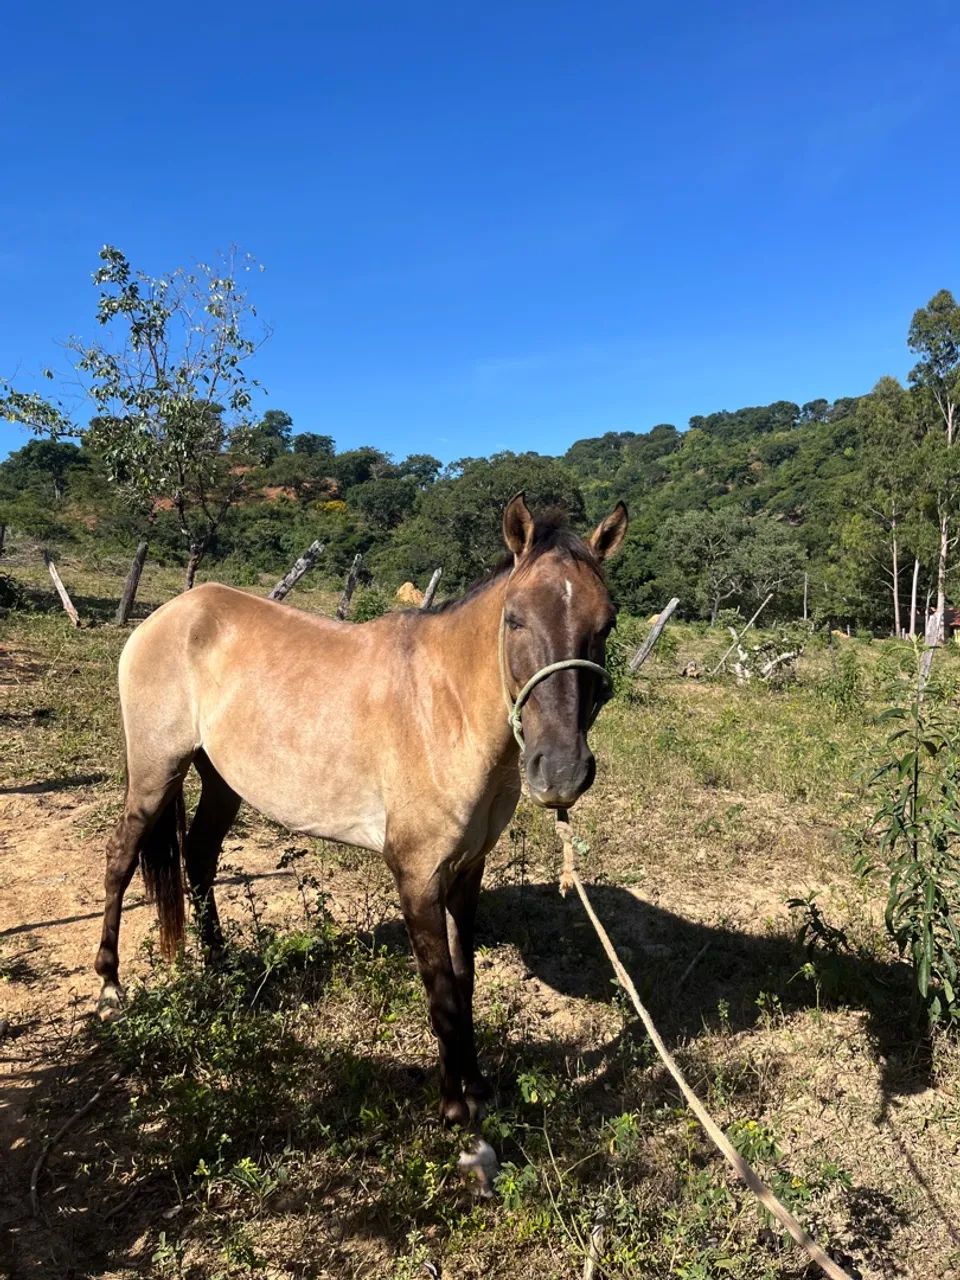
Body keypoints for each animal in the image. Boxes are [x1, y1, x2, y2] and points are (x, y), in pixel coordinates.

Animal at [94, 492, 628, 1124]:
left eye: (606, 623)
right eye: (515, 618)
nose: (562, 771)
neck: (444, 707)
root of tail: (169, 614)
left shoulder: (466, 871)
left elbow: (464, 977)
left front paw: (477, 1087)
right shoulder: (416, 875)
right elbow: (441, 992)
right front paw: (455, 1107)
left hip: (220, 779)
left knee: (198, 857)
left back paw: (221, 969)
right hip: (156, 773)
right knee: (120, 859)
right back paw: (109, 988)